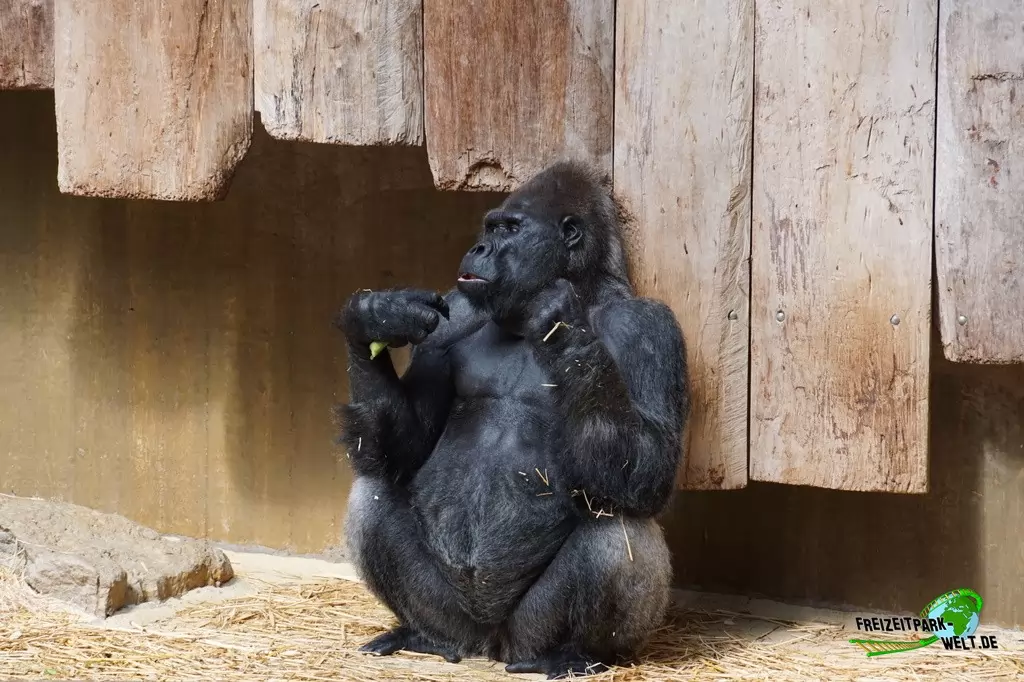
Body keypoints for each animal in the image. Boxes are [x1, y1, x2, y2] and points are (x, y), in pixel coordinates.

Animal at [335, 160, 690, 679]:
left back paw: (574, 654)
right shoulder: (456, 310)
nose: (478, 249)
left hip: (527, 633)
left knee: (615, 525)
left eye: (511, 230)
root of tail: (490, 646)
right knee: (372, 492)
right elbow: (404, 448)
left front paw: (562, 324)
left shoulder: (650, 328)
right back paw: (424, 634)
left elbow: (648, 470)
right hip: (454, 619)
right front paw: (372, 321)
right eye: (490, 228)